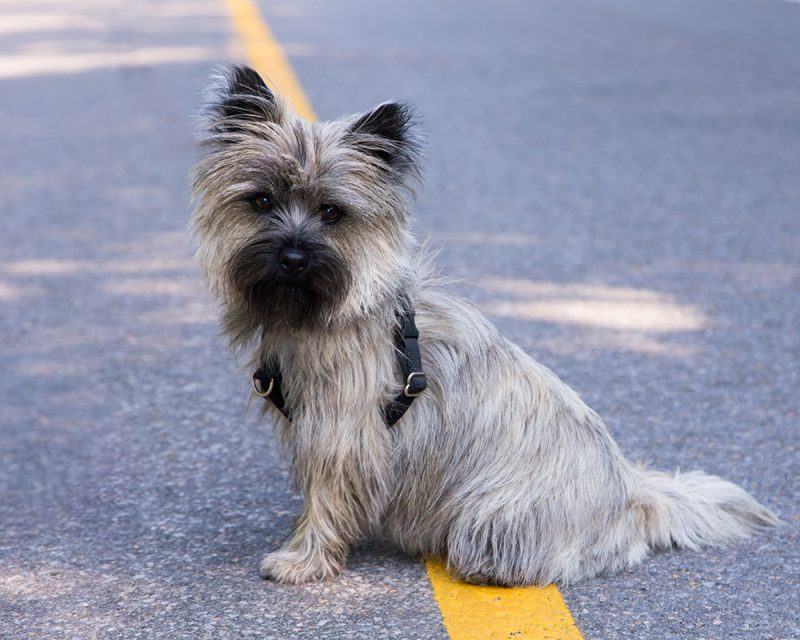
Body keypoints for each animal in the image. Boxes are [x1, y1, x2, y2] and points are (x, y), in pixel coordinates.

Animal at [191, 65, 780, 584]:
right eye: (262, 200)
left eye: (332, 212)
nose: (292, 256)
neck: (342, 310)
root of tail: (632, 494)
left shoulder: (344, 436)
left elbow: (327, 500)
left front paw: (305, 561)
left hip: (490, 517)